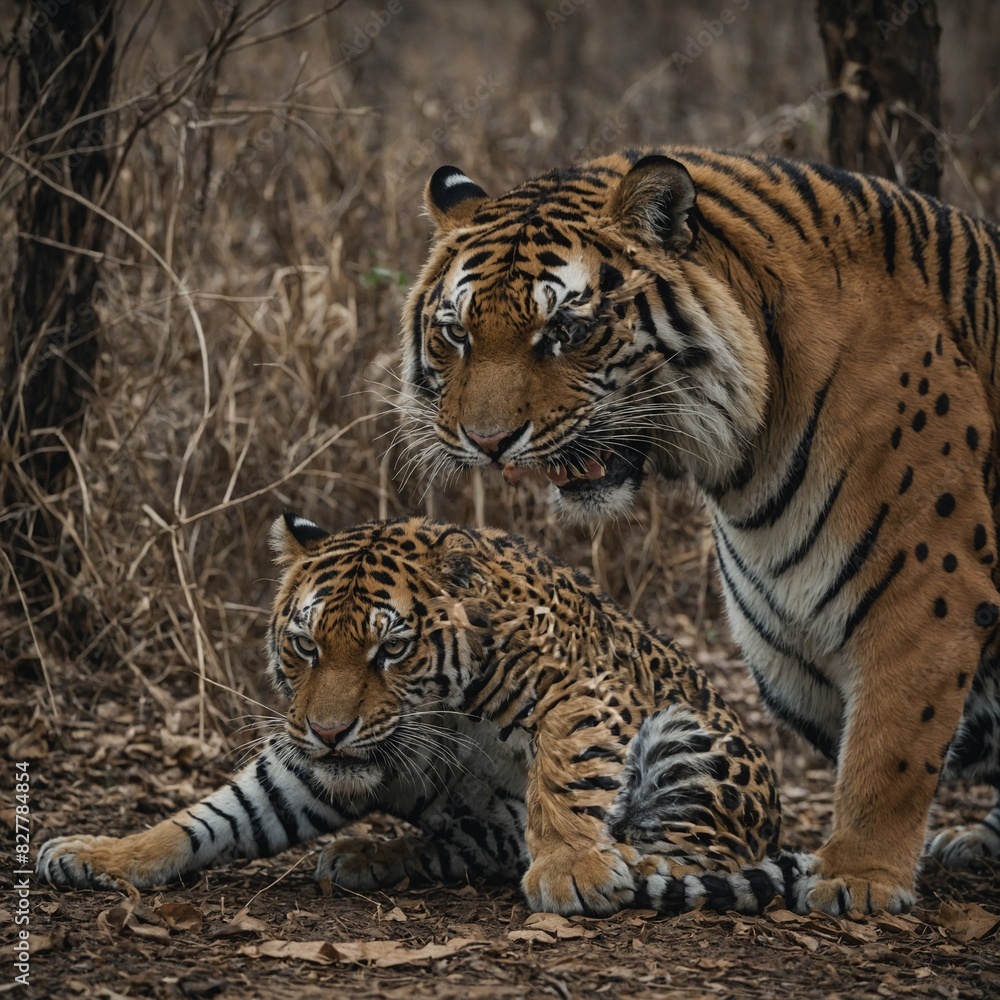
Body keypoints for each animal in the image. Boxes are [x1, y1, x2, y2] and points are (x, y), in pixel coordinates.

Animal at [38, 512, 823, 917]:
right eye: (305, 645)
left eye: (391, 649)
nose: (330, 731)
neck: (442, 717)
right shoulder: (303, 765)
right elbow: (214, 816)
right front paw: (100, 854)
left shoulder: (585, 687)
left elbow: (565, 774)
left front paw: (573, 867)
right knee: (469, 850)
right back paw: (367, 855)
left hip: (691, 738)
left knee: (706, 856)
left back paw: (630, 860)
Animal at [398, 146, 1000, 915]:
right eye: (457, 333)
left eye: (566, 331)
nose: (489, 443)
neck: (750, 453)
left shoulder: (928, 591)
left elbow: (889, 743)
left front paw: (859, 877)